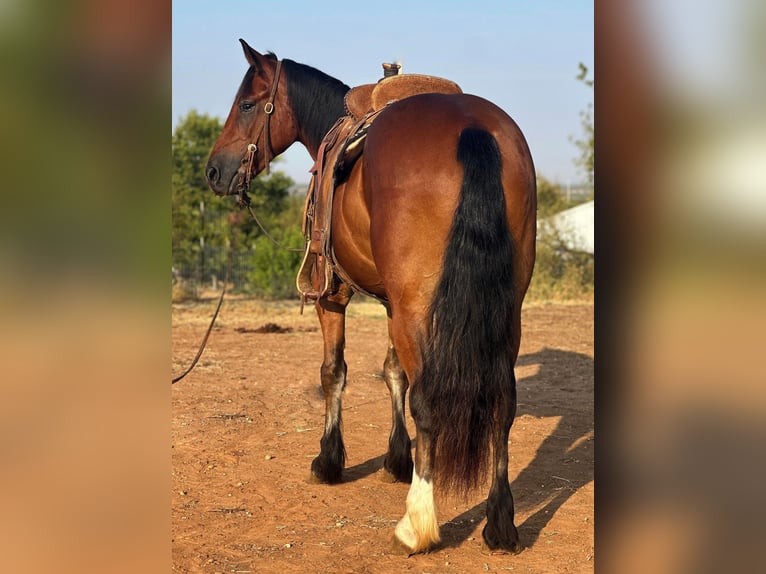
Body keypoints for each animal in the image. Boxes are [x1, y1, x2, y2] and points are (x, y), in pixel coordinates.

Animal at [207, 38, 536, 556]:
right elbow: (392, 372)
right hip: (503, 309)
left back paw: (416, 525)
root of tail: (473, 129)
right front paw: (397, 459)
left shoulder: (333, 294)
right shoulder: (391, 302)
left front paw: (329, 461)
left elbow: (334, 373)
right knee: (503, 403)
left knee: (429, 403)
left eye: (246, 104)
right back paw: (500, 525)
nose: (214, 171)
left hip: (416, 307)